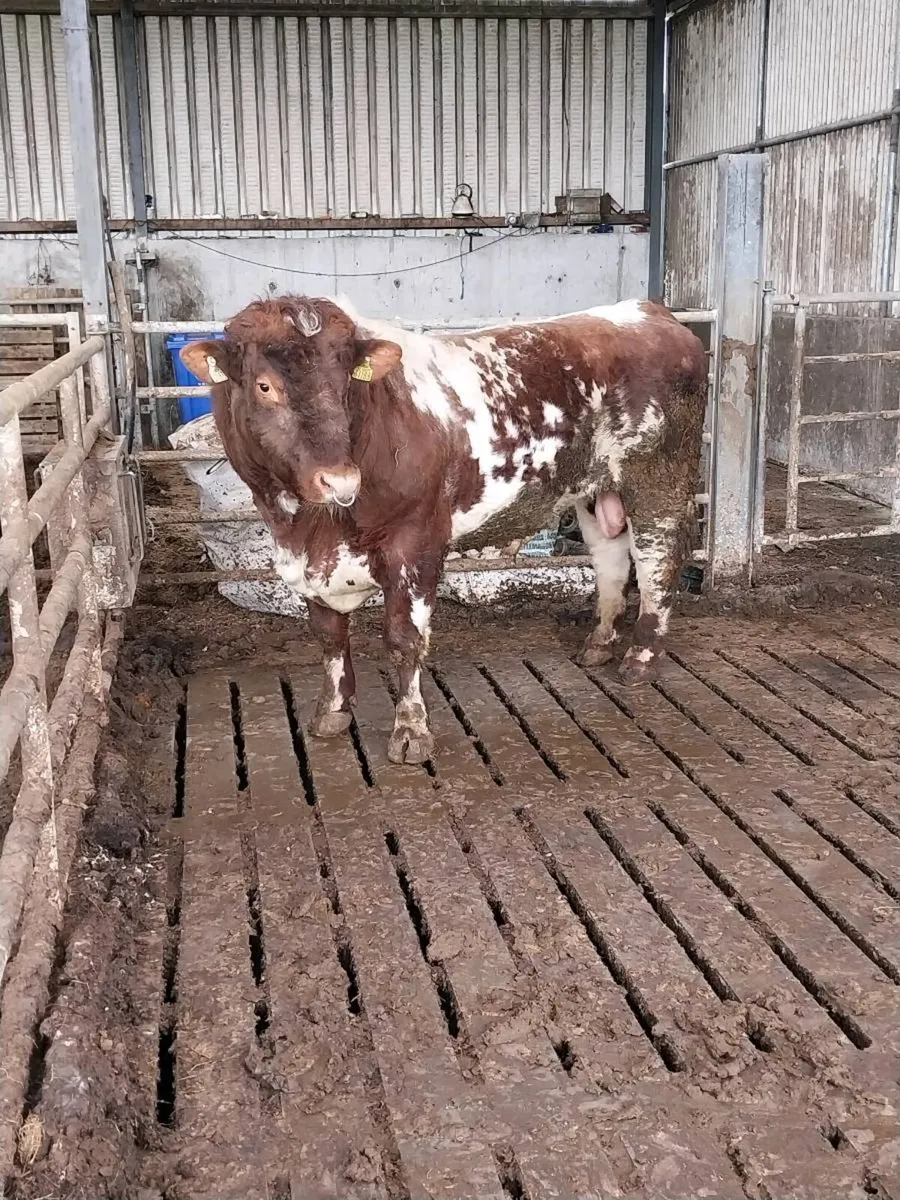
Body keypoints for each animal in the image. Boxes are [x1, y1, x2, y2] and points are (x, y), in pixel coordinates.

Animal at [180, 296, 707, 765]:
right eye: (264, 386)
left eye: (346, 382)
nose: (339, 479)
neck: (311, 527)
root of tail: (650, 312)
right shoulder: (304, 559)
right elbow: (328, 635)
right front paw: (331, 712)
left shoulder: (414, 543)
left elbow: (404, 637)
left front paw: (411, 733)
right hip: (595, 491)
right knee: (611, 559)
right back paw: (598, 644)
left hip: (658, 476)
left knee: (657, 559)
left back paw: (640, 658)